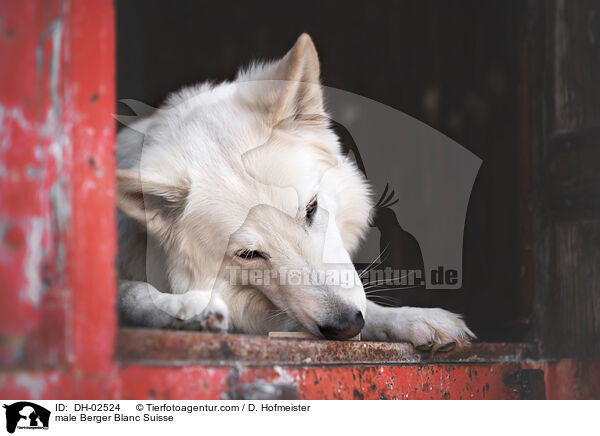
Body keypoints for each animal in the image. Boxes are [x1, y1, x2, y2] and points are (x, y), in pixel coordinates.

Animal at [117, 33, 474, 350]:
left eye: (311, 209)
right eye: (248, 254)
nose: (346, 327)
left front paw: (409, 318)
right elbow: (131, 292)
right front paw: (186, 307)